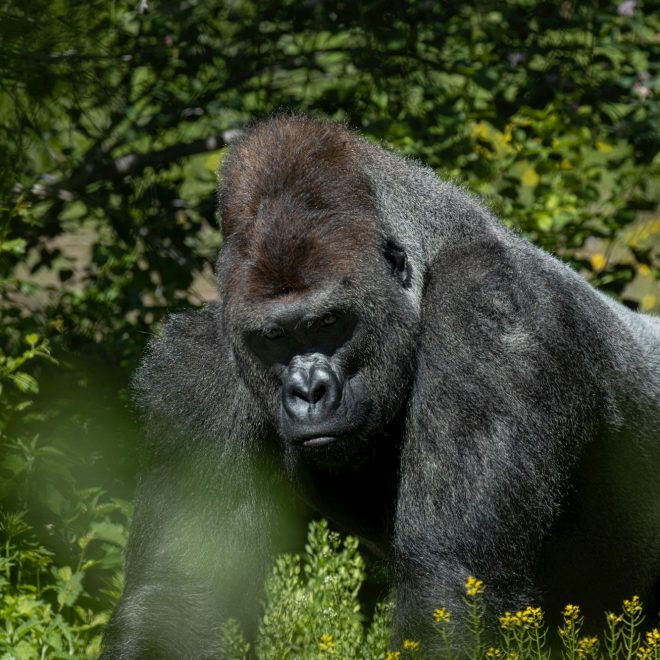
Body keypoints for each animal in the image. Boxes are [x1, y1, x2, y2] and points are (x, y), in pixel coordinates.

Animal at [102, 116, 660, 656]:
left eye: (330, 322)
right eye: (273, 337)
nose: (309, 393)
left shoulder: (496, 315)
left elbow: (452, 583)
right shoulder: (198, 366)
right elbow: (180, 597)